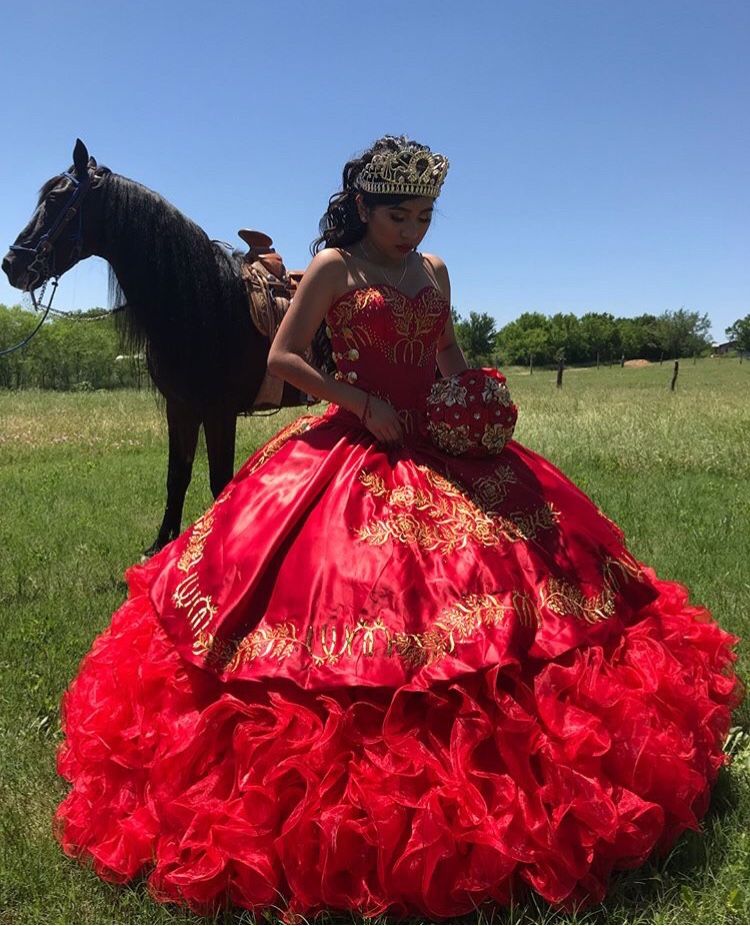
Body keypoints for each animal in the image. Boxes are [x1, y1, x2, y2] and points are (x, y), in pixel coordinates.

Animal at [2, 140, 306, 556]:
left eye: (55, 198)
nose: (12, 264)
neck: (204, 299)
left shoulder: (218, 411)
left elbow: (220, 481)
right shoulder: (180, 407)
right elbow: (177, 475)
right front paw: (161, 544)